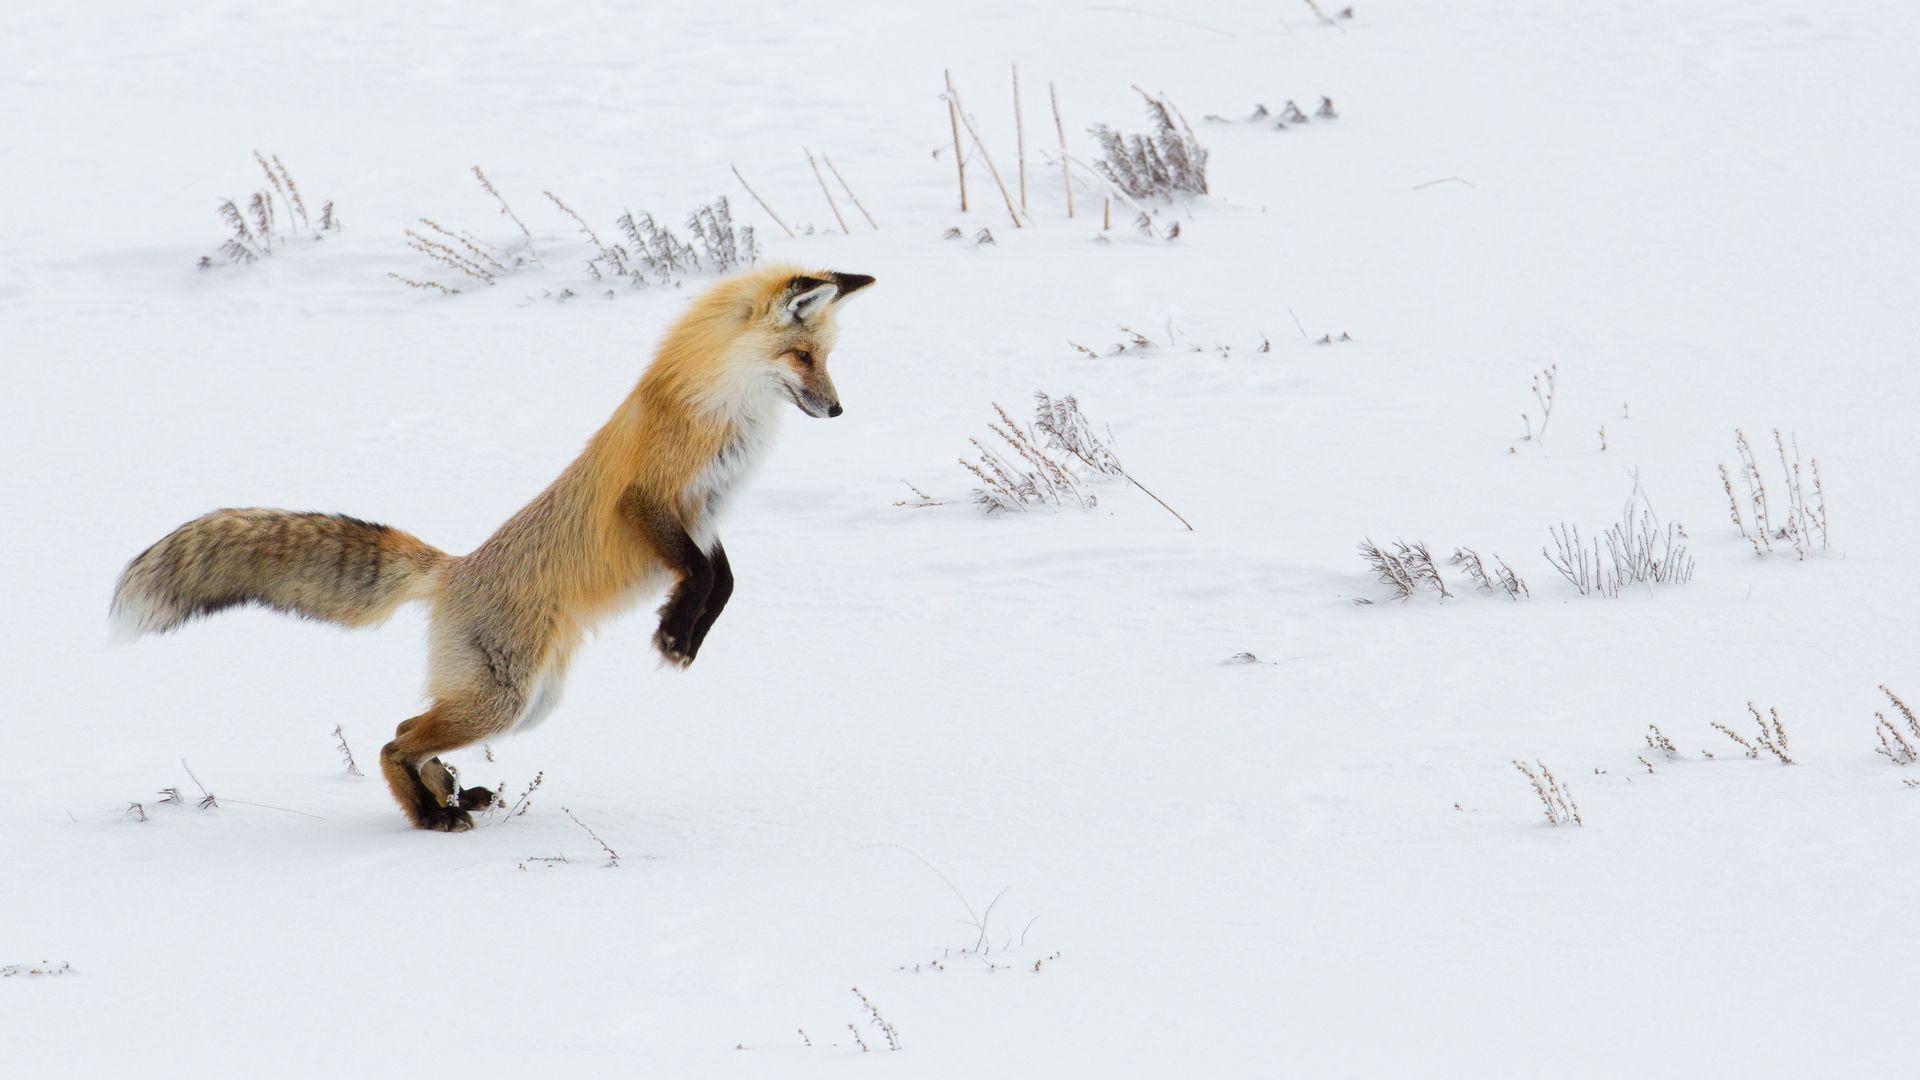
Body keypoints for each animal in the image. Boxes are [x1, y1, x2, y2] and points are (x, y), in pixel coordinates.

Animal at [111, 265, 873, 831]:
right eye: (803, 356)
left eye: (827, 358)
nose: (839, 410)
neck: (722, 411)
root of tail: (453, 570)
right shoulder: (650, 502)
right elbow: (699, 575)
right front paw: (674, 633)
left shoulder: (707, 517)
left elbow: (723, 581)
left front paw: (684, 633)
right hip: (504, 700)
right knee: (393, 739)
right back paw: (432, 813)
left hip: (528, 702)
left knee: (406, 726)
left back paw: (449, 794)